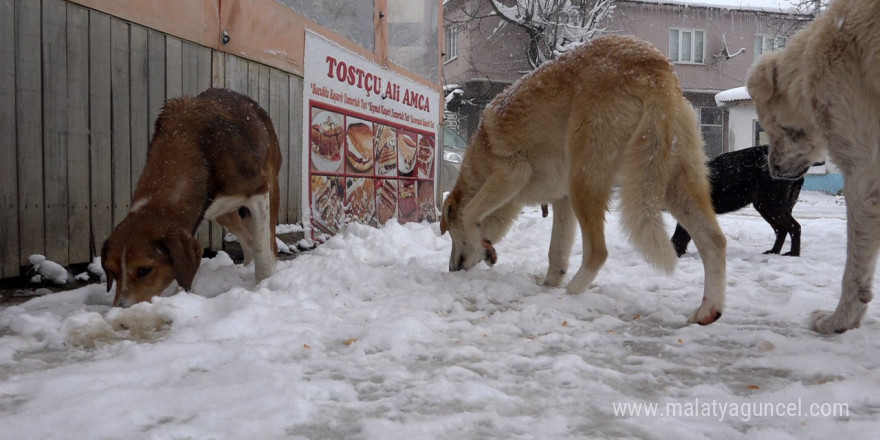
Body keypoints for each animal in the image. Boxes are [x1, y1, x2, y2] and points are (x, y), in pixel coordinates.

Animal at [102, 88, 282, 308]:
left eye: (144, 270)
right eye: (112, 271)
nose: (119, 309)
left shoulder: (258, 192)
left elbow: (261, 246)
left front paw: (264, 282)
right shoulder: (193, 218)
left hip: (271, 187)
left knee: (267, 241)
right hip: (222, 213)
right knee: (246, 237)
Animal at [440, 35, 728, 326]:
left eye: (451, 234)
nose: (451, 269)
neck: (476, 165)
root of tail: (651, 63)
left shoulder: (513, 174)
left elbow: (471, 214)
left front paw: (487, 250)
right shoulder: (562, 199)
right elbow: (556, 252)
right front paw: (548, 284)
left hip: (585, 181)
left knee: (598, 251)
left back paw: (571, 293)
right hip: (670, 185)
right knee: (715, 240)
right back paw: (708, 310)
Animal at [672, 146, 804, 256]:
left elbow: (680, 235)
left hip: (773, 205)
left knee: (794, 227)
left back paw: (793, 254)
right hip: (764, 206)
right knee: (781, 230)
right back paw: (774, 252)